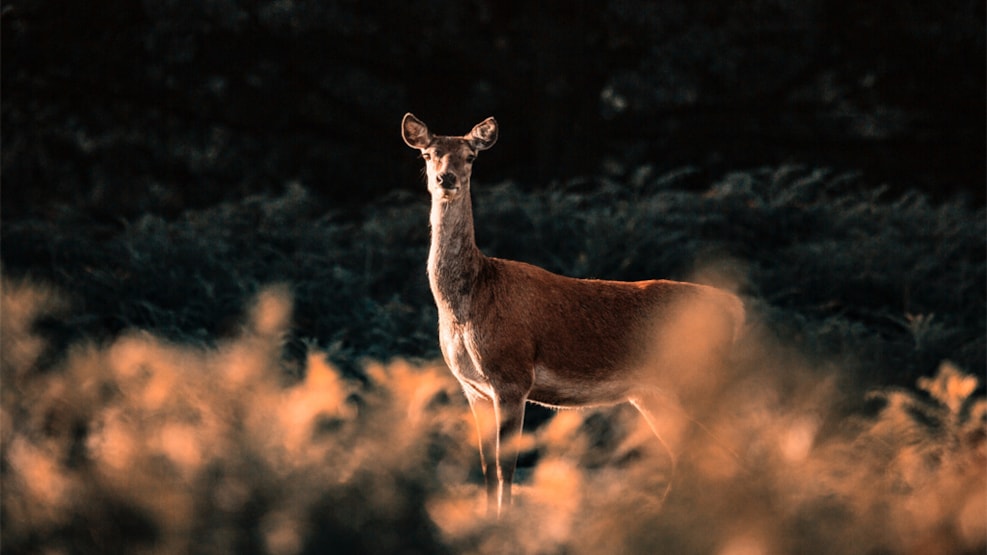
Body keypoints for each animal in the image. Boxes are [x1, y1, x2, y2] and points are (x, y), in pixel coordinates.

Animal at [400, 112, 740, 516]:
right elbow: (485, 465)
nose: (446, 179)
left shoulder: (512, 375)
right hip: (654, 394)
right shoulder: (472, 387)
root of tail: (734, 308)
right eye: (428, 154)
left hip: (692, 379)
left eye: (471, 156)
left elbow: (505, 464)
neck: (468, 302)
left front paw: (504, 521)